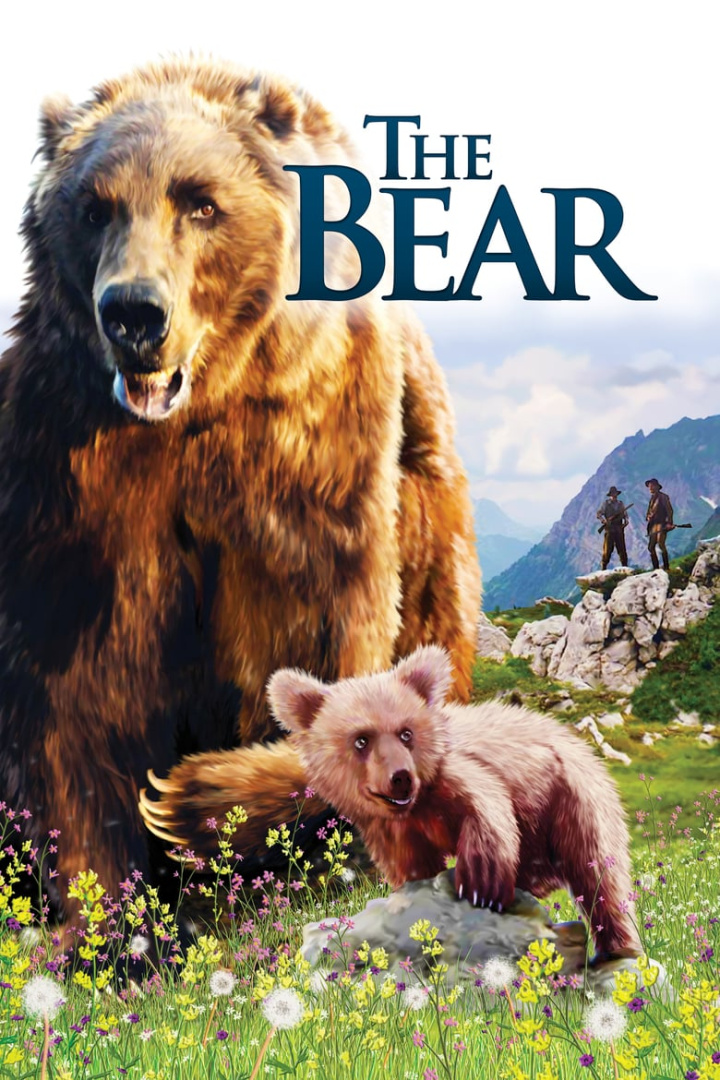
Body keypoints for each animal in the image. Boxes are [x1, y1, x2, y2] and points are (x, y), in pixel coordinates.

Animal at [0, 57, 480, 923]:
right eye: (93, 208)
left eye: (200, 201)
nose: (134, 313)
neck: (197, 421)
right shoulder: (71, 491)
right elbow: (70, 710)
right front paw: (105, 911)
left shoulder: (309, 484)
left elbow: (328, 662)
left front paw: (187, 796)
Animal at [149, 646, 639, 961]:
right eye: (361, 739)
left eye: (406, 732)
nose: (400, 776)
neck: (414, 806)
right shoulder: (392, 828)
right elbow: (409, 865)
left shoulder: (459, 777)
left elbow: (488, 812)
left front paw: (477, 885)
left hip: (576, 800)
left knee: (602, 881)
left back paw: (618, 949)